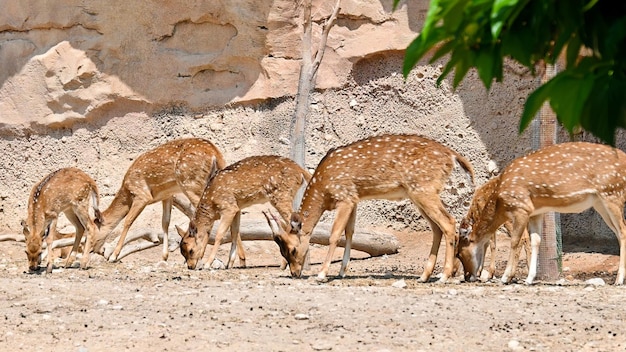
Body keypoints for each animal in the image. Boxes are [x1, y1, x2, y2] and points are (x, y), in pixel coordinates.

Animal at [96, 138, 225, 262]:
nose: (100, 251)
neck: (127, 192)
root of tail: (215, 154)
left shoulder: (142, 195)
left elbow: (128, 221)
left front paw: (113, 256)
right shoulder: (167, 195)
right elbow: (165, 222)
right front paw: (164, 256)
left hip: (192, 184)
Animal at [174, 155, 310, 270]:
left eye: (190, 250)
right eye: (182, 252)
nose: (190, 266)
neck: (211, 203)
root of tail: (300, 171)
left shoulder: (228, 207)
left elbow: (219, 234)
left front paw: (208, 264)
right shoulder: (237, 208)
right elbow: (234, 232)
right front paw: (229, 264)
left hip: (281, 196)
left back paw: (288, 264)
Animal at [264, 134, 472, 284]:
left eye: (291, 250)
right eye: (281, 250)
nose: (295, 273)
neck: (323, 191)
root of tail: (453, 156)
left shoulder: (344, 196)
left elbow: (335, 234)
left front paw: (322, 274)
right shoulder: (354, 198)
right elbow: (350, 232)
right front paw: (341, 272)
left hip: (424, 189)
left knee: (448, 222)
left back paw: (443, 276)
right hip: (418, 194)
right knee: (437, 227)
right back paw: (424, 276)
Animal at [454, 142, 624, 284]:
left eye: (459, 253)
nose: (467, 277)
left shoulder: (521, 207)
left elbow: (514, 241)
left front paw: (505, 277)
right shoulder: (536, 212)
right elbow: (536, 240)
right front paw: (529, 278)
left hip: (612, 194)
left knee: (623, 231)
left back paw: (619, 280)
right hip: (600, 203)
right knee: (618, 232)